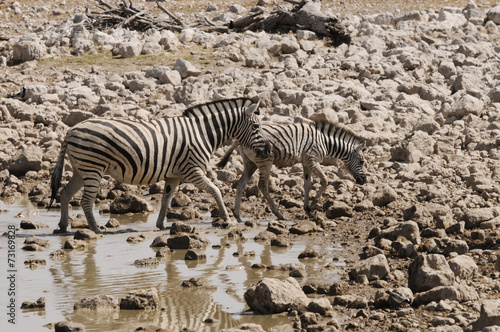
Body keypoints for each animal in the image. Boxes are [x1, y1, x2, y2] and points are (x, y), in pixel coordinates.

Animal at [48, 98, 272, 233]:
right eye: (256, 126)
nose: (268, 150)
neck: (203, 133)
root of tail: (70, 131)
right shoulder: (193, 170)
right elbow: (215, 190)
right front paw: (228, 219)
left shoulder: (174, 175)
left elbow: (166, 199)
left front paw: (161, 224)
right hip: (92, 168)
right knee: (86, 201)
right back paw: (95, 230)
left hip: (81, 169)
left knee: (65, 193)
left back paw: (63, 226)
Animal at [216, 118, 368, 222]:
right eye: (361, 162)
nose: (364, 181)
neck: (325, 141)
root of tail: (241, 139)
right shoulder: (313, 160)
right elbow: (325, 180)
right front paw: (314, 203)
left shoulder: (306, 162)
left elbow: (307, 184)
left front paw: (308, 210)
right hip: (265, 160)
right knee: (262, 185)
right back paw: (279, 214)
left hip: (250, 163)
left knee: (241, 184)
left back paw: (237, 215)